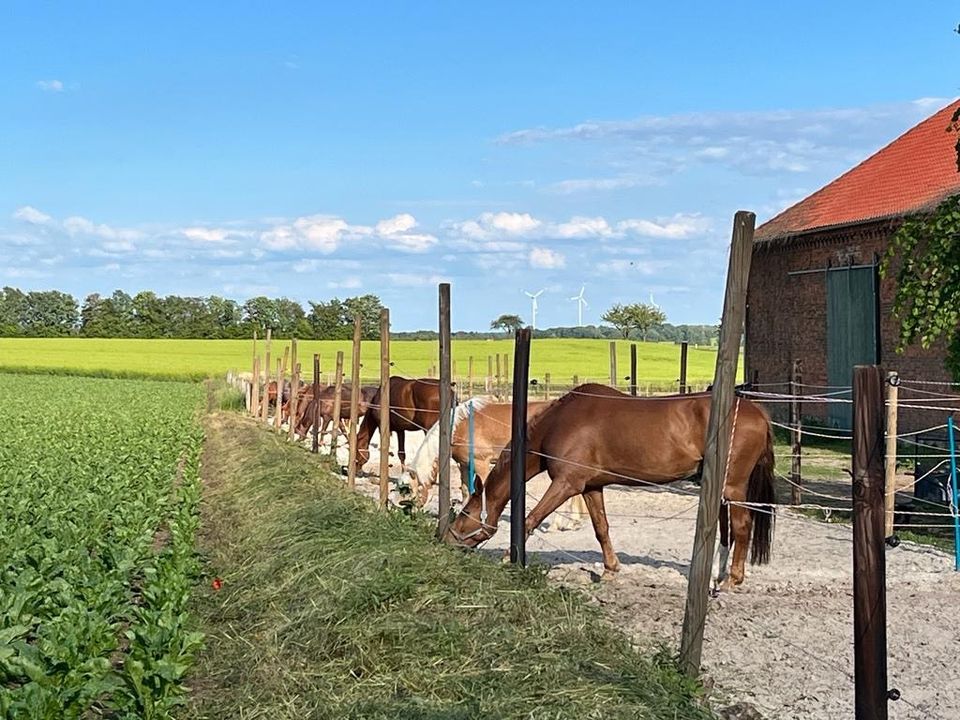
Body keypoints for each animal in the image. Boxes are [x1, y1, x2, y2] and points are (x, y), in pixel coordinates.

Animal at [446, 386, 776, 588]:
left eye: (464, 516)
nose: (446, 542)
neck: (559, 423)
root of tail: (758, 412)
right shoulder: (592, 487)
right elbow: (601, 528)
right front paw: (610, 569)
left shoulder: (566, 484)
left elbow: (530, 519)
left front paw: (508, 558)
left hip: (733, 487)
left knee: (743, 526)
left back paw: (732, 579)